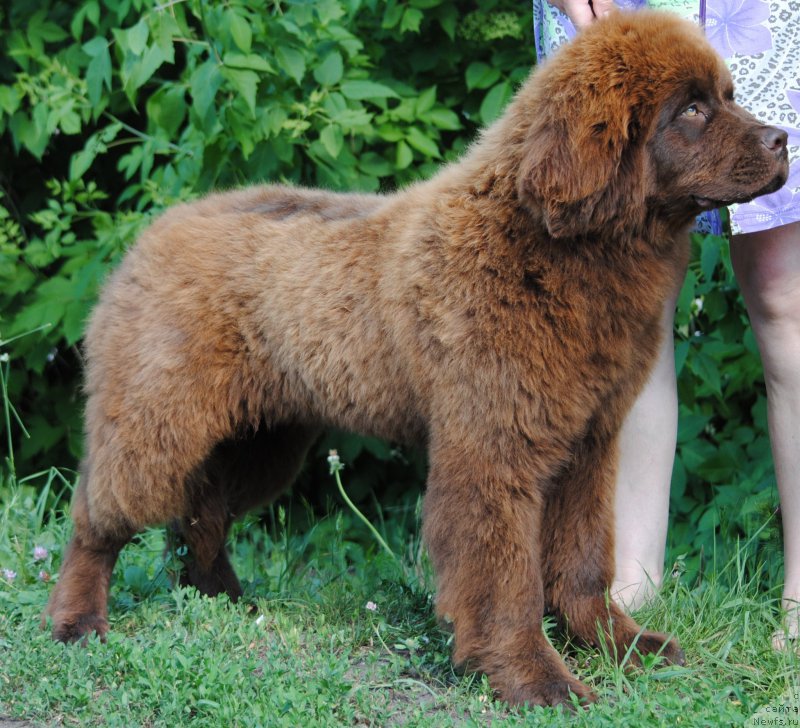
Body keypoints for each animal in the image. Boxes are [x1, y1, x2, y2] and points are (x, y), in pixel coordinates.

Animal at [45, 9, 788, 704]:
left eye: (728, 94)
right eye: (691, 110)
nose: (783, 140)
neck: (560, 247)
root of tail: (152, 233)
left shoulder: (587, 440)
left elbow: (581, 558)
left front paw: (617, 645)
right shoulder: (492, 443)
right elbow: (503, 576)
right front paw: (535, 679)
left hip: (262, 437)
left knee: (201, 512)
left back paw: (222, 597)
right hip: (157, 415)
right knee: (98, 517)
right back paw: (76, 622)